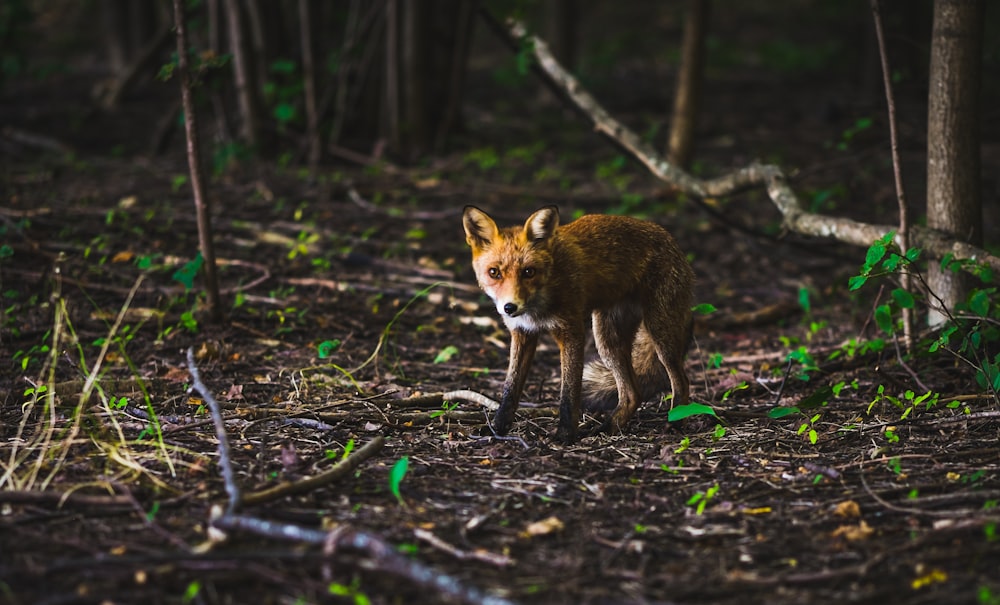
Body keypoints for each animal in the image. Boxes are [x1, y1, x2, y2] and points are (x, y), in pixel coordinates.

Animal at [462, 205, 692, 442]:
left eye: (528, 272)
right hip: (608, 342)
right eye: (494, 272)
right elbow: (510, 389)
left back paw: (675, 424)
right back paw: (608, 427)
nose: (510, 307)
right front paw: (497, 428)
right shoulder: (522, 334)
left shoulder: (571, 332)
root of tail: (670, 239)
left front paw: (565, 434)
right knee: (632, 394)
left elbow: (569, 393)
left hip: (660, 334)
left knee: (682, 382)